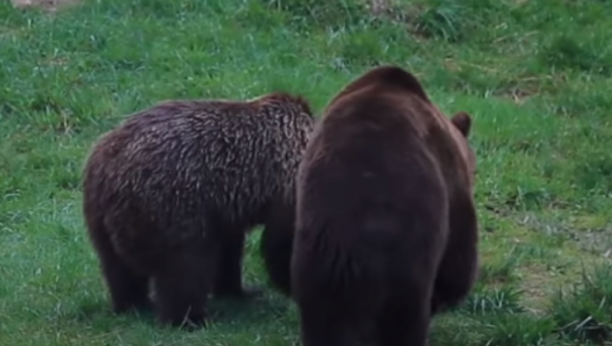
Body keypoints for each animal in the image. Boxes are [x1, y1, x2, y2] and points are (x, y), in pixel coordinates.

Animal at [81, 92, 316, 330]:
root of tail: (110, 166)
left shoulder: (224, 208)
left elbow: (229, 249)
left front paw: (236, 289)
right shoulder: (285, 186)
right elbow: (283, 246)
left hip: (98, 212)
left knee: (118, 268)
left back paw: (133, 303)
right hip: (173, 200)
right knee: (184, 267)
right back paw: (191, 318)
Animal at [290, 65, 478, 346]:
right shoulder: (449, 176)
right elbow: (459, 252)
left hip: (319, 270)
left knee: (323, 326)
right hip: (405, 272)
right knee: (405, 325)